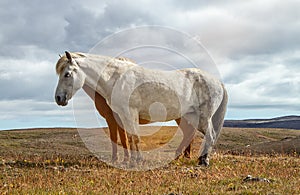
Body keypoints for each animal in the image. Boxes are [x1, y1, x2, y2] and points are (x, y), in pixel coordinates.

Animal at [55, 51, 227, 165]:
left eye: (67, 74)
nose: (58, 98)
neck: (117, 78)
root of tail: (217, 82)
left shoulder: (129, 113)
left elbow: (133, 138)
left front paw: (135, 161)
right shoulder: (122, 116)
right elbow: (130, 138)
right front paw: (133, 160)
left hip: (203, 117)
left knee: (210, 135)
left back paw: (203, 161)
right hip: (192, 116)